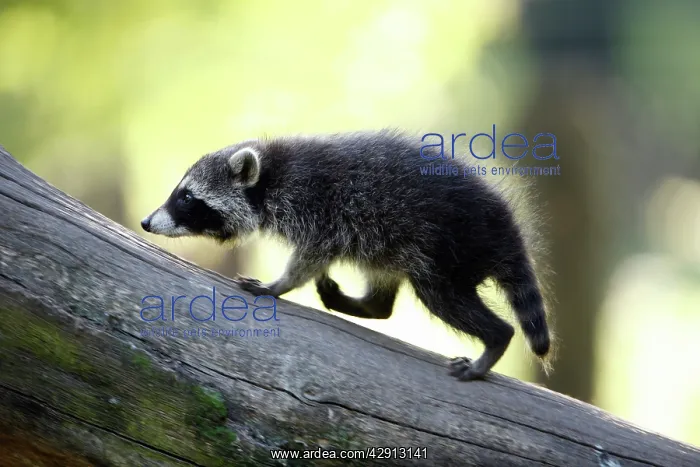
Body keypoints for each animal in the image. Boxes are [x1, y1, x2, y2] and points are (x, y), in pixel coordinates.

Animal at [141, 130, 551, 381]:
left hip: (445, 248)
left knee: (443, 296)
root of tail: (505, 225)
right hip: (397, 245)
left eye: (187, 198)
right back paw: (368, 304)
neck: (273, 173)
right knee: (383, 296)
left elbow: (312, 255)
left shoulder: (318, 209)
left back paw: (495, 339)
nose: (146, 221)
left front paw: (280, 284)